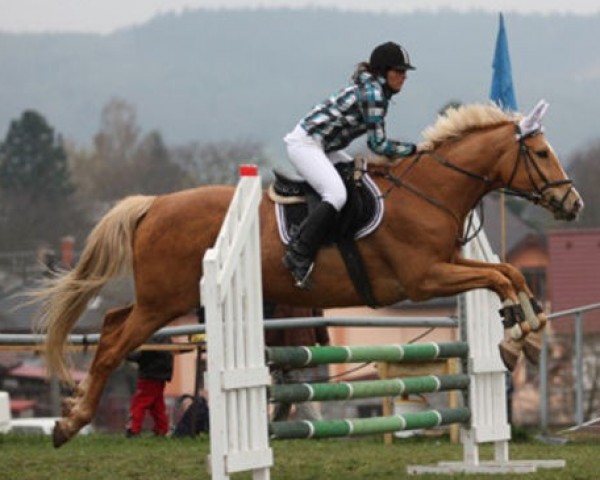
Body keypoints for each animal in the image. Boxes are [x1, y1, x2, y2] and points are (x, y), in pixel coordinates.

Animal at [32, 99, 580, 448]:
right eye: (541, 153)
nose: (572, 203)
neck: (431, 191)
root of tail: (153, 205)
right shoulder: (422, 279)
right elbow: (501, 278)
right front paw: (517, 338)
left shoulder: (449, 264)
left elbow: (509, 271)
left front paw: (525, 334)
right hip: (163, 302)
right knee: (112, 347)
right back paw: (69, 424)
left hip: (164, 300)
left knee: (110, 324)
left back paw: (72, 413)